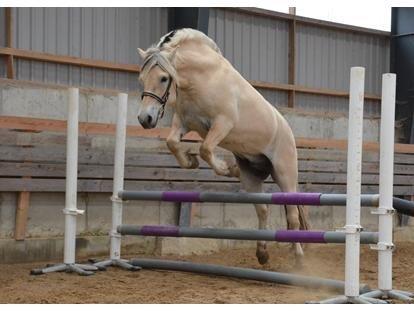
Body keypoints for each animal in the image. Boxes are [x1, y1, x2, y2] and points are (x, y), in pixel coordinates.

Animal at [137, 28, 308, 266]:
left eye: (163, 78)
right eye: (142, 78)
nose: (145, 119)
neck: (201, 78)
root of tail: (288, 131)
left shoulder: (222, 123)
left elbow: (206, 149)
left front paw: (227, 168)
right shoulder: (184, 122)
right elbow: (172, 143)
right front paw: (191, 161)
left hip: (285, 175)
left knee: (292, 215)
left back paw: (299, 259)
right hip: (252, 176)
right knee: (263, 210)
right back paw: (262, 254)